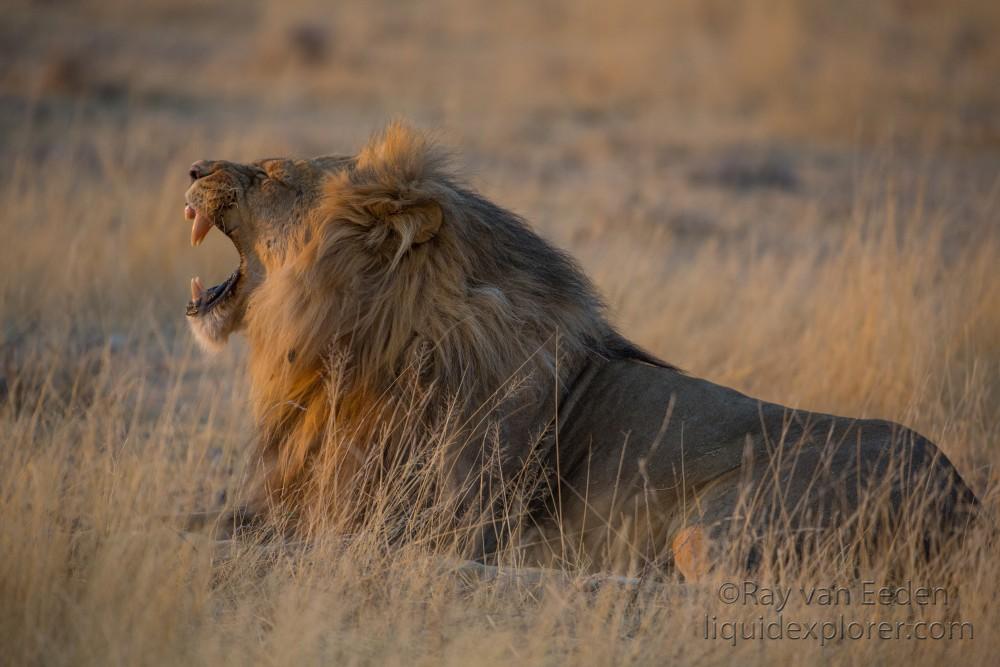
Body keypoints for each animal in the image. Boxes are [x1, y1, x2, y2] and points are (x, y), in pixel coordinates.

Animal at [184, 121, 980, 580]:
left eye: (273, 172)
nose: (193, 169)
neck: (337, 353)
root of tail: (966, 503)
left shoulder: (414, 525)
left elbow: (268, 547)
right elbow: (200, 521)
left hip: (716, 529)